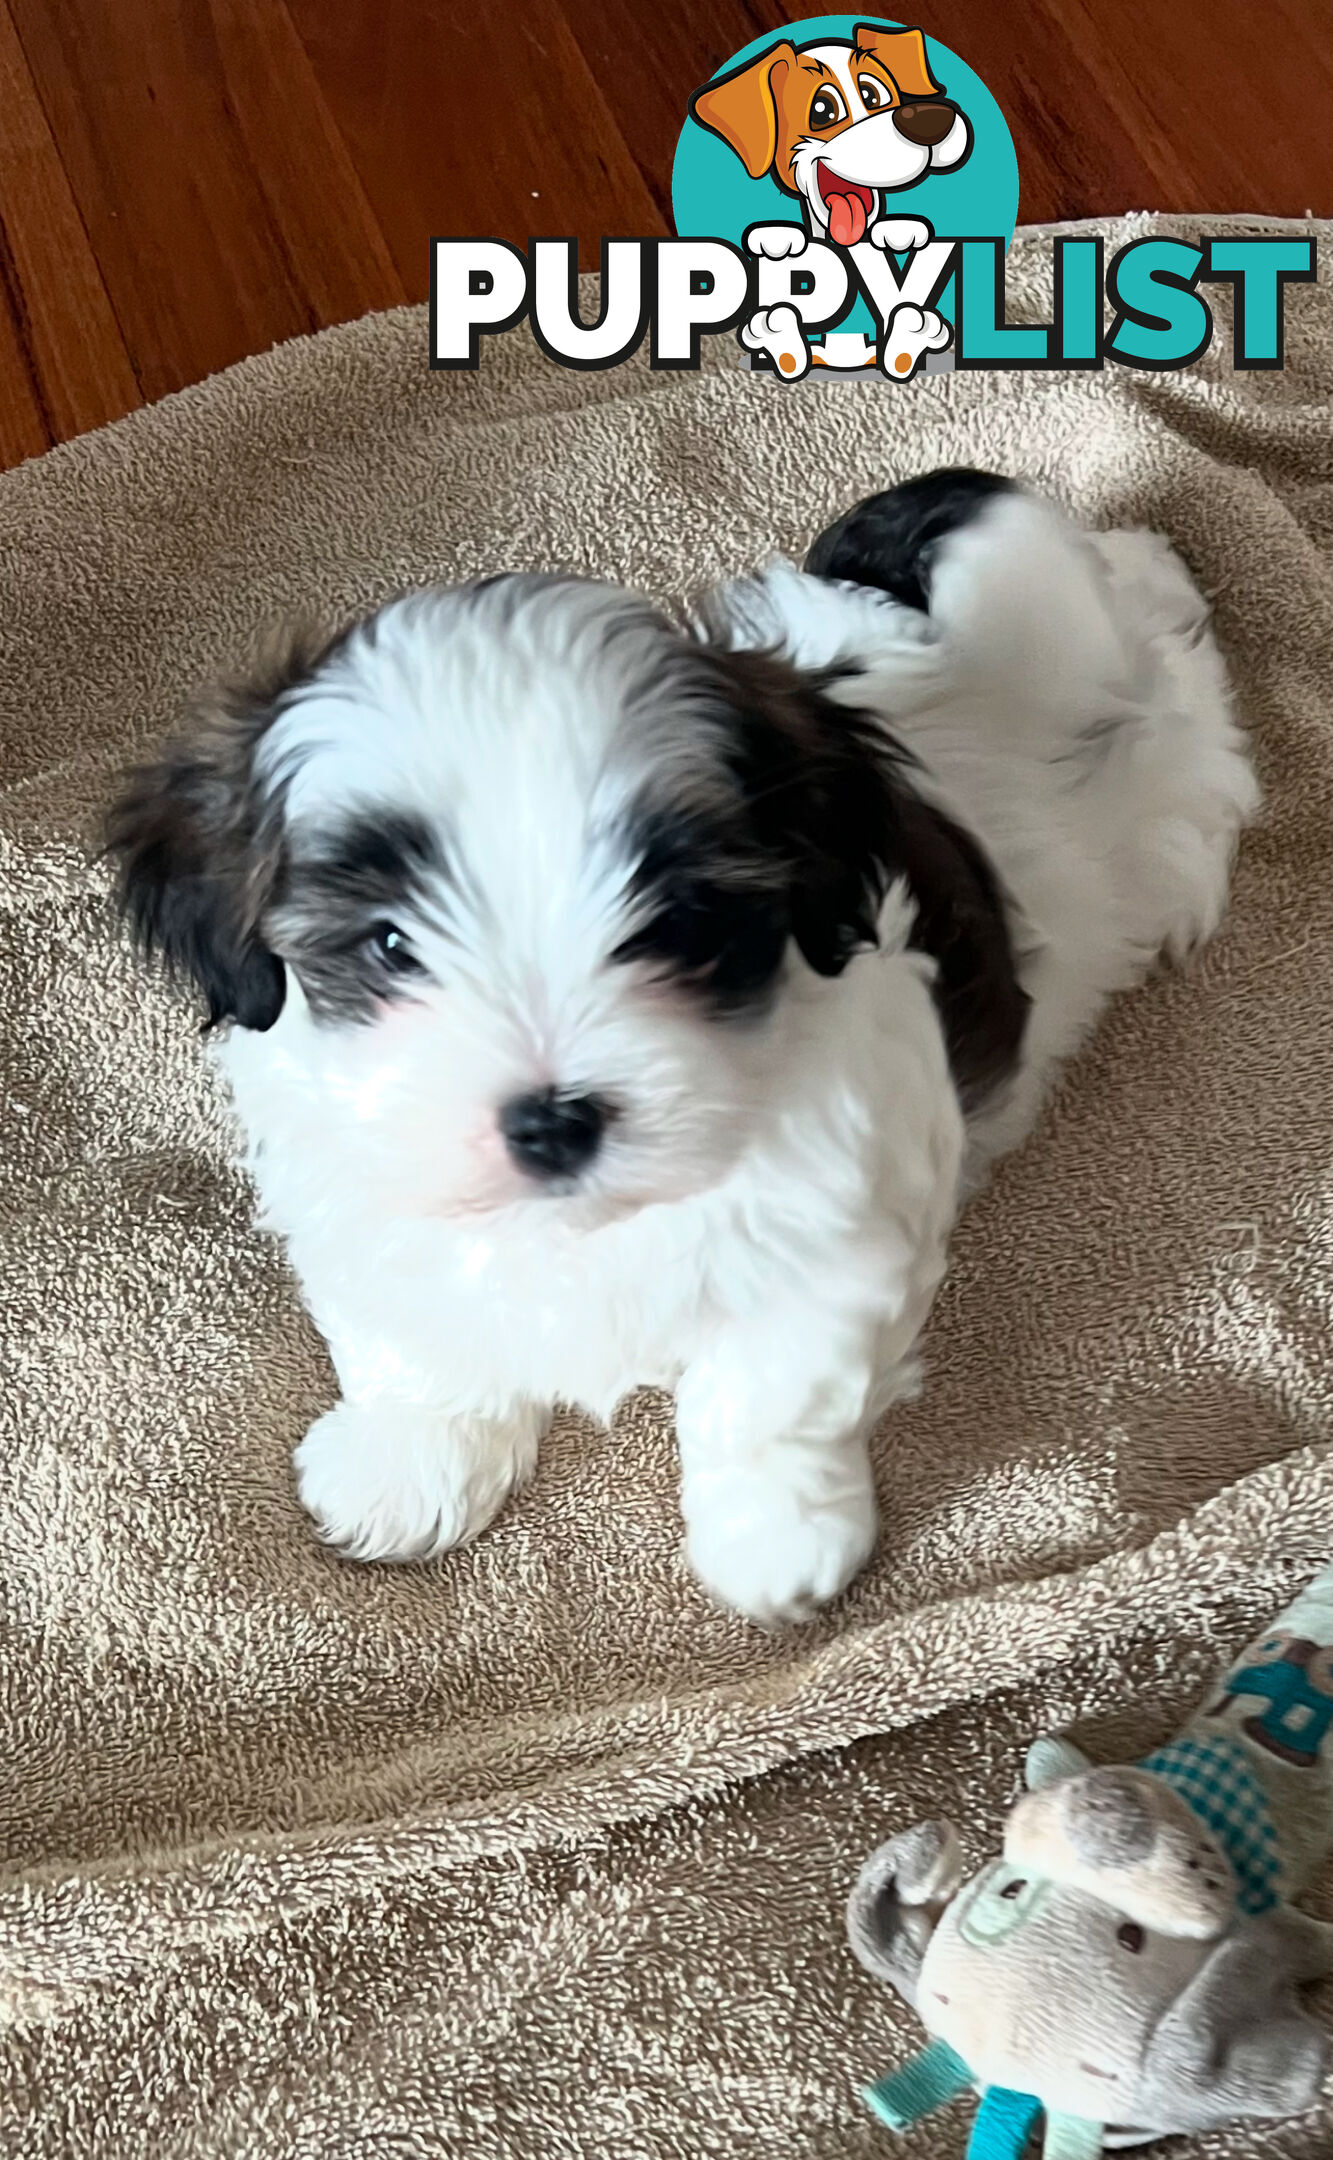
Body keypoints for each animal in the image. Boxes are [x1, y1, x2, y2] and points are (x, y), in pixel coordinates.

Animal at [106, 473, 1261, 1624]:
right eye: (390, 944)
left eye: (674, 923)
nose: (552, 1122)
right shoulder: (364, 1191)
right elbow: (416, 1335)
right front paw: (413, 1462)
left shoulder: (833, 1230)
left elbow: (772, 1395)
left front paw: (778, 1538)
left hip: (1148, 764)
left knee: (1165, 667)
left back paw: (1157, 583)